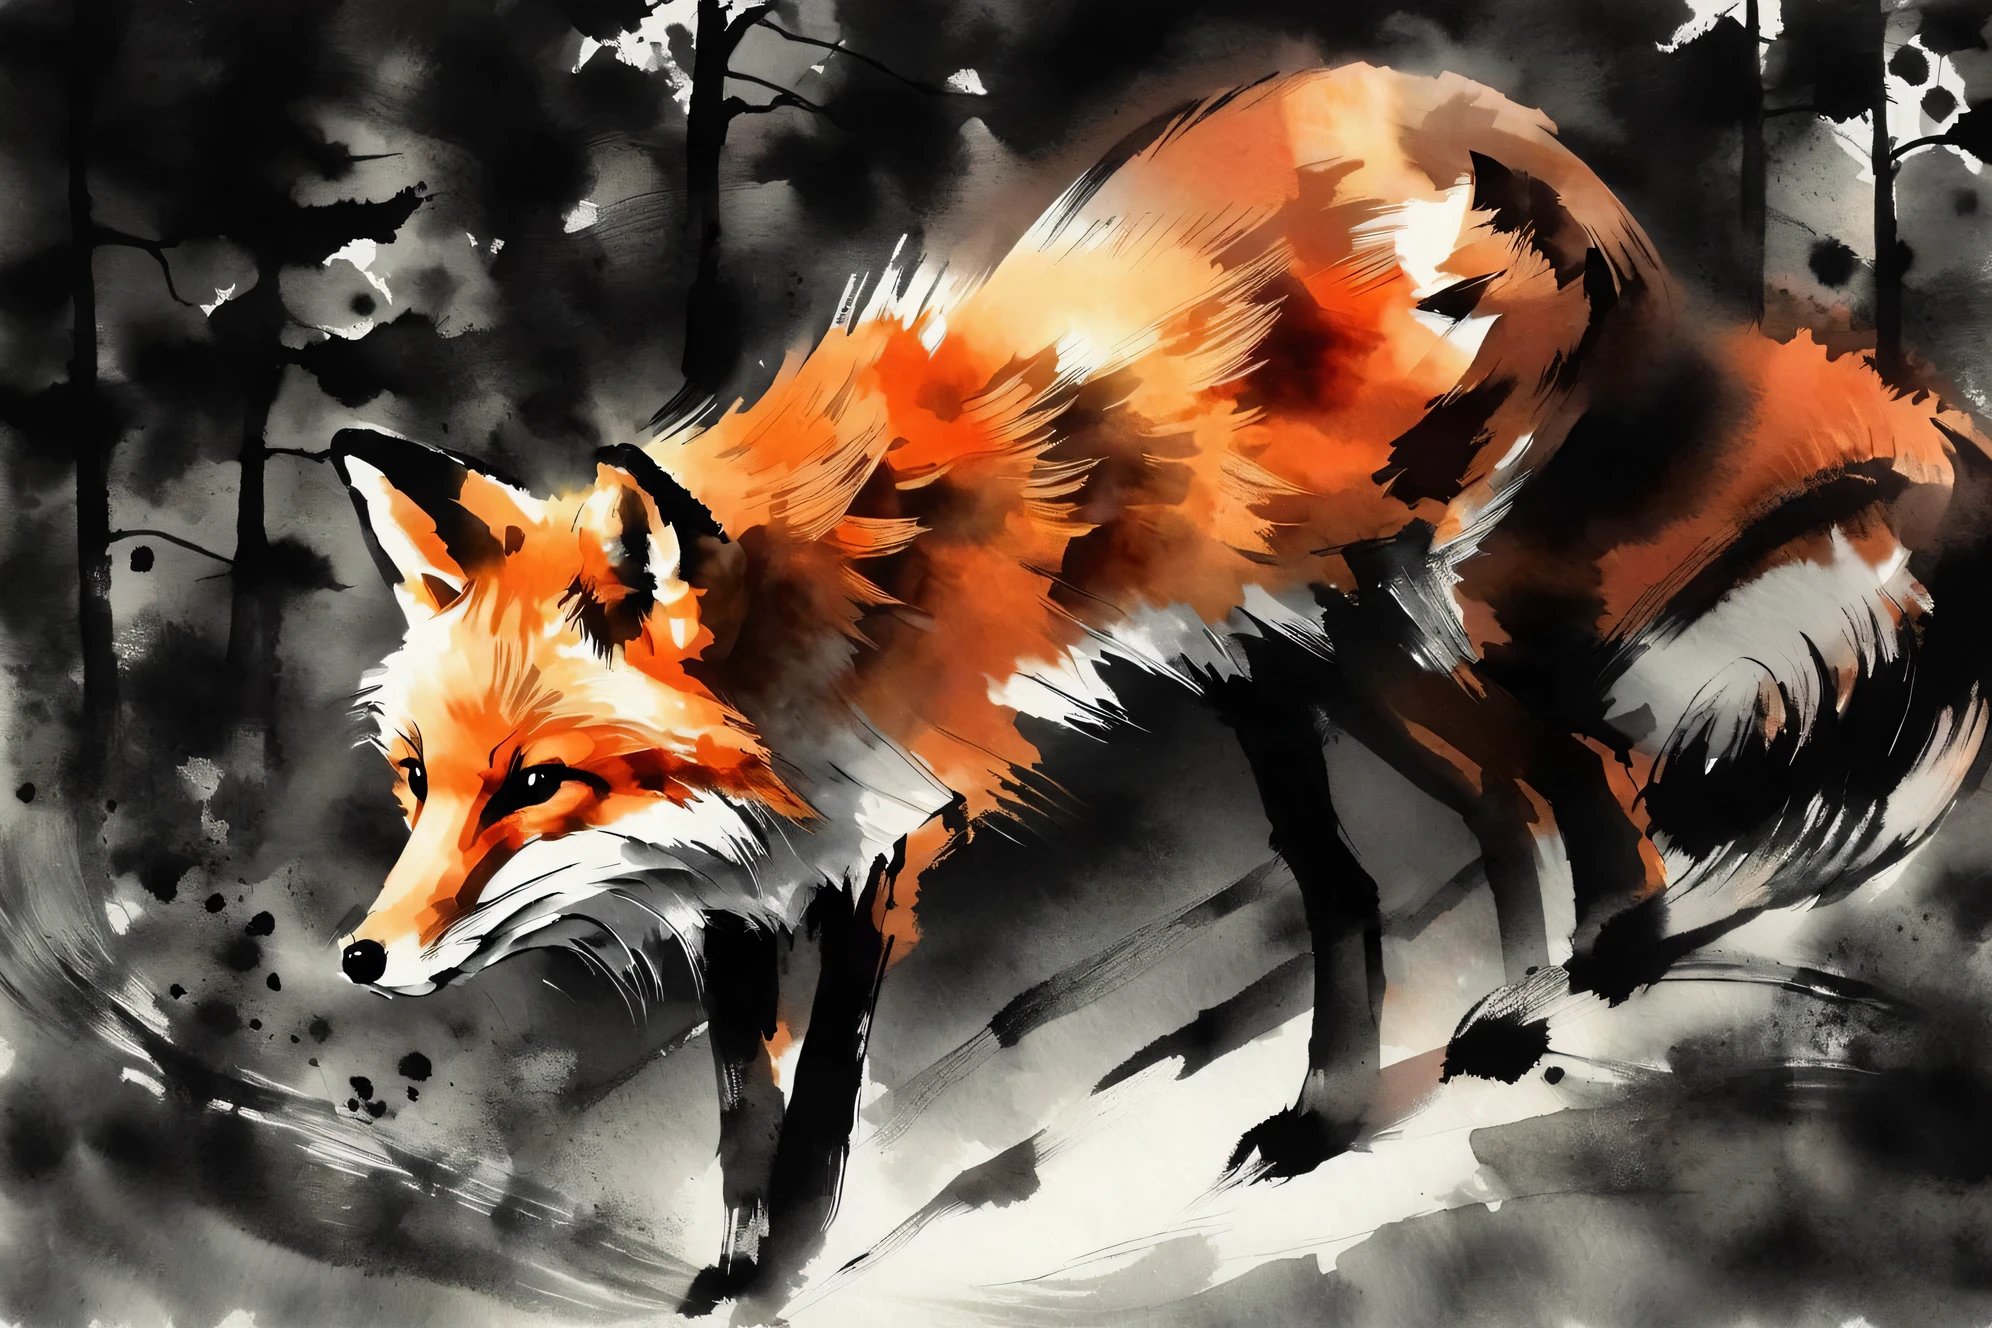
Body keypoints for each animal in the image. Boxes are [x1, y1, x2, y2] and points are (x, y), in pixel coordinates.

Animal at [327, 62, 1992, 1308]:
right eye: (422, 780)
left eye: (539, 781)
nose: (361, 958)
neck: (820, 615)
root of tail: (1461, 106)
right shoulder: (749, 877)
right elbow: (744, 1099)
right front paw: (735, 1265)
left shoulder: (880, 839)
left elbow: (819, 1111)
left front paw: (785, 1264)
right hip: (1285, 656)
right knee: (1430, 839)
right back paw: (1383, 1083)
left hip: (1381, 618)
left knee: (1570, 769)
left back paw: (1570, 985)